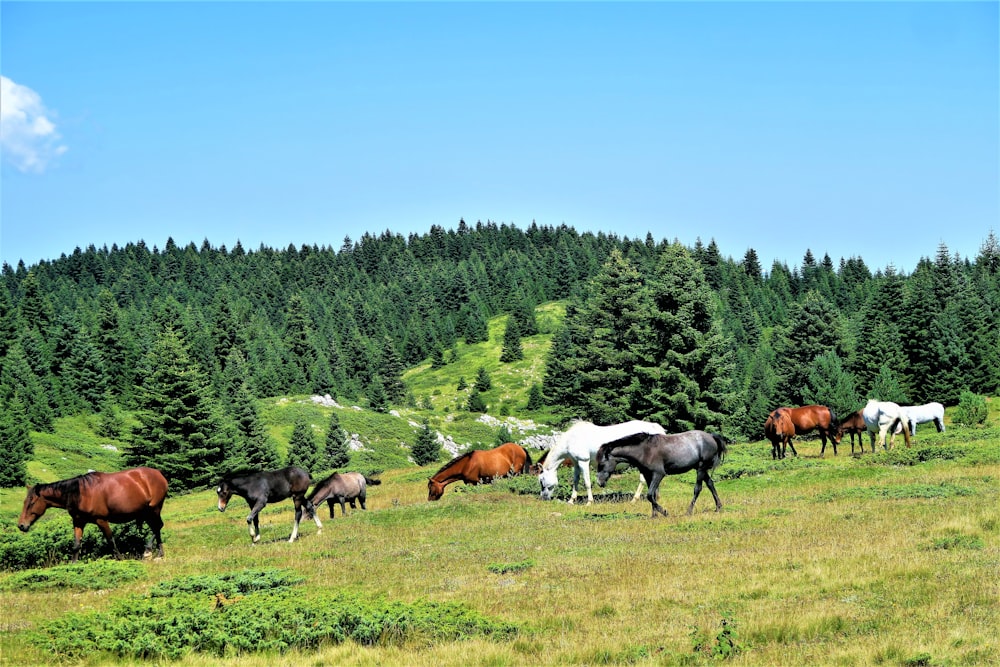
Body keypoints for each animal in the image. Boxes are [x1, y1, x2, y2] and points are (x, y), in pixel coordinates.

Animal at [18, 468, 168, 568]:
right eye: (24, 502)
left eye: (31, 502)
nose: (21, 525)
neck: (80, 493)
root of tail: (159, 474)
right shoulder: (79, 522)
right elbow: (76, 545)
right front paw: (73, 565)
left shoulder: (101, 520)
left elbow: (111, 541)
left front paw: (120, 559)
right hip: (146, 512)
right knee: (157, 528)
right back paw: (160, 554)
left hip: (154, 509)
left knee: (157, 527)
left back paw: (148, 552)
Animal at [536, 420, 668, 504]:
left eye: (541, 480)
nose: (544, 498)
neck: (571, 439)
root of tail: (656, 429)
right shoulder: (576, 463)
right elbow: (575, 482)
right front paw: (571, 500)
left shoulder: (584, 462)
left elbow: (587, 483)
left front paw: (589, 502)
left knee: (643, 480)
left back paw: (634, 500)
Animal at [592, 430, 728, 520]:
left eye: (602, 464)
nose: (599, 482)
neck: (645, 450)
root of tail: (711, 436)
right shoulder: (648, 475)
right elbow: (652, 496)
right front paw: (654, 515)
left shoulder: (658, 474)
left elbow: (649, 495)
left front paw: (664, 512)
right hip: (701, 469)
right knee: (710, 484)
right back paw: (718, 507)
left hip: (701, 468)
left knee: (698, 489)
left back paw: (689, 511)